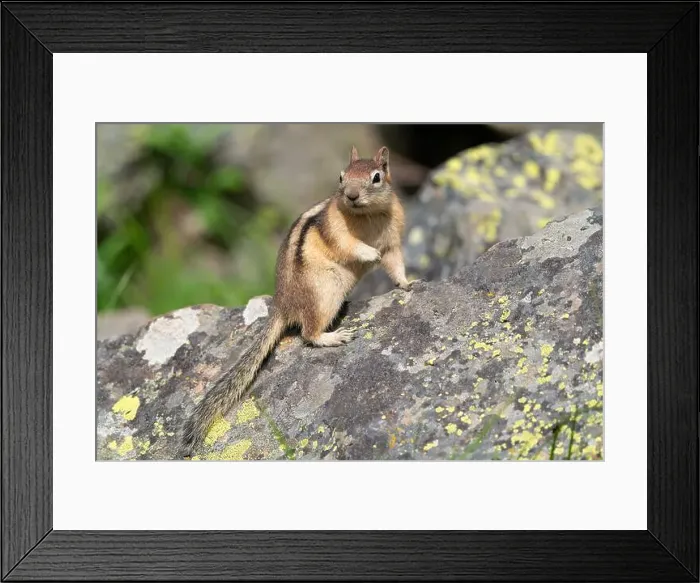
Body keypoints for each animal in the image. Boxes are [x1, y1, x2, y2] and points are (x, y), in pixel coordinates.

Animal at [179, 145, 414, 457]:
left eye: (376, 177)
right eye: (341, 176)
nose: (350, 195)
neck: (367, 215)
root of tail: (281, 304)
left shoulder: (393, 239)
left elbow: (395, 263)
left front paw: (408, 283)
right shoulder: (336, 230)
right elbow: (350, 246)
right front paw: (369, 254)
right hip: (325, 294)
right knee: (308, 334)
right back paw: (334, 336)